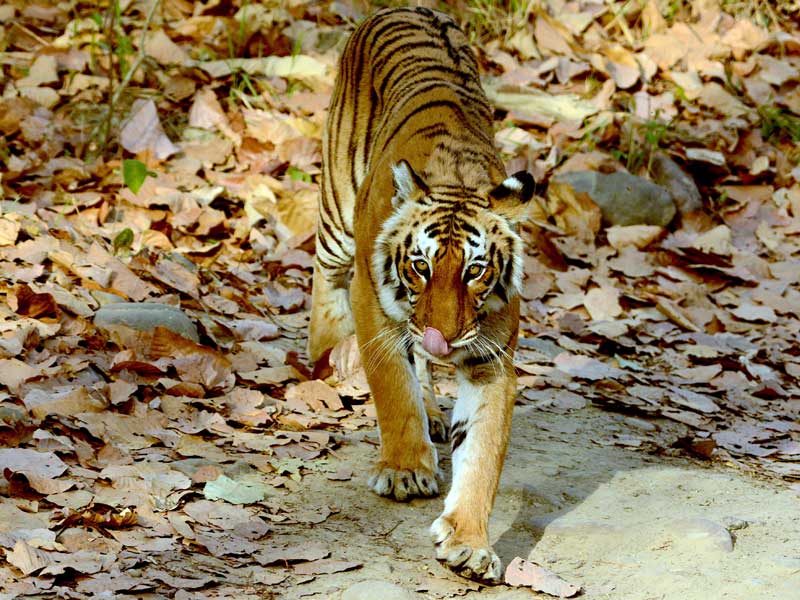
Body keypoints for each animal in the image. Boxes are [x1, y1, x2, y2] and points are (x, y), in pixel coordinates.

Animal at [310, 7, 536, 584]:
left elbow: (482, 452)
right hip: (338, 212)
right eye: (420, 266)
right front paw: (407, 470)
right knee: (324, 273)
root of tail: (407, 7)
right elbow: (392, 387)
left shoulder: (490, 358)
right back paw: (324, 355)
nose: (443, 337)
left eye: (475, 271)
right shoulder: (373, 304)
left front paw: (471, 544)